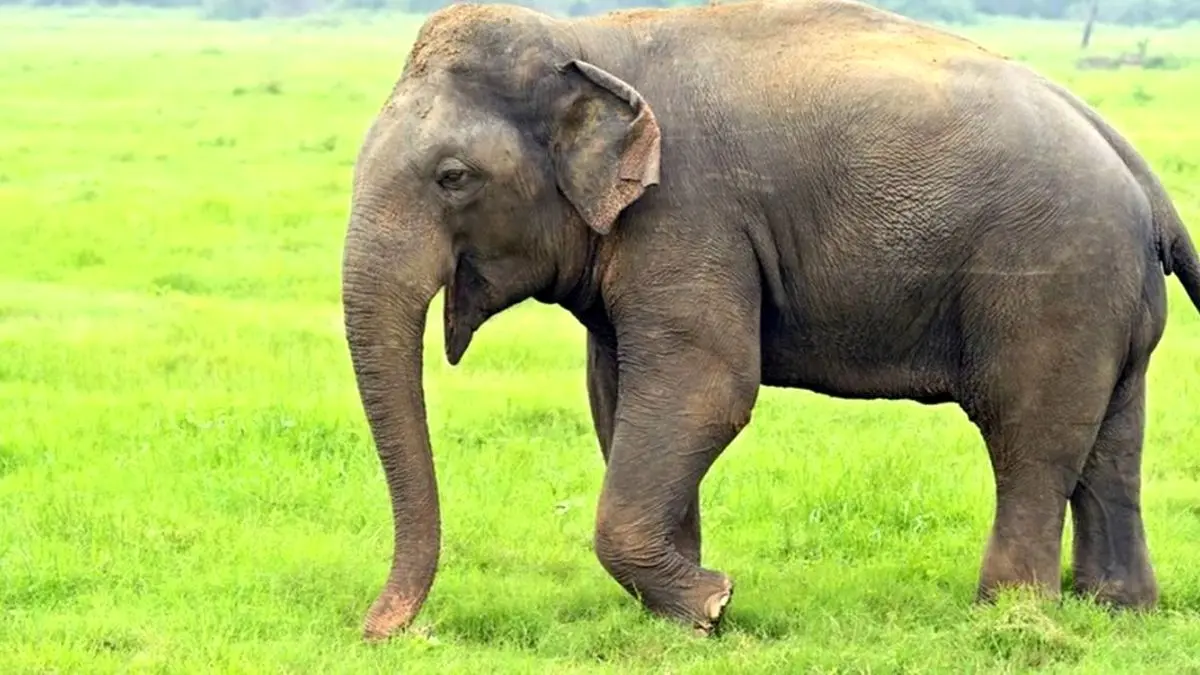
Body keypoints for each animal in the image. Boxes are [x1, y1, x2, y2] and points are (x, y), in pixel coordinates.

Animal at [338, 0, 1200, 638]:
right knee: (1110, 440)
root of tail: (1140, 173)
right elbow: (617, 393)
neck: (588, 39)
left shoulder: (689, 212)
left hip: (1053, 280)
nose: (383, 632)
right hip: (1108, 297)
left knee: (1030, 434)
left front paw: (713, 603)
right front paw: (688, 611)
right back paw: (1116, 609)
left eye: (453, 177)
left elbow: (707, 388)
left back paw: (1009, 614)